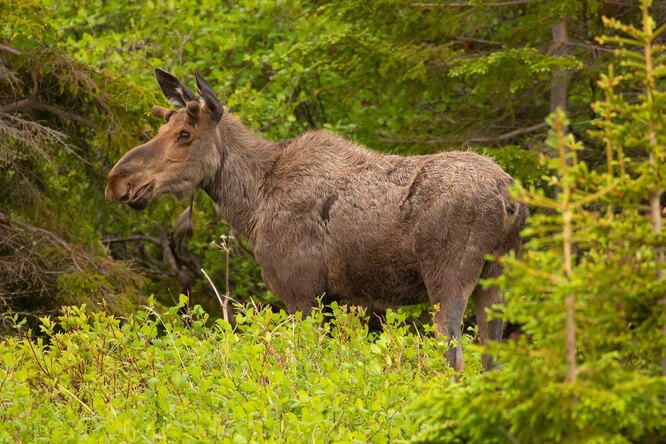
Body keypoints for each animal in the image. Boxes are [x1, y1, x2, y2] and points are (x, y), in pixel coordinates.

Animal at [106, 67, 524, 370]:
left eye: (184, 134)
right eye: (163, 126)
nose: (118, 180)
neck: (252, 207)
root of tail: (511, 202)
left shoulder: (301, 292)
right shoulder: (336, 298)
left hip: (448, 280)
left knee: (455, 362)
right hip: (497, 281)